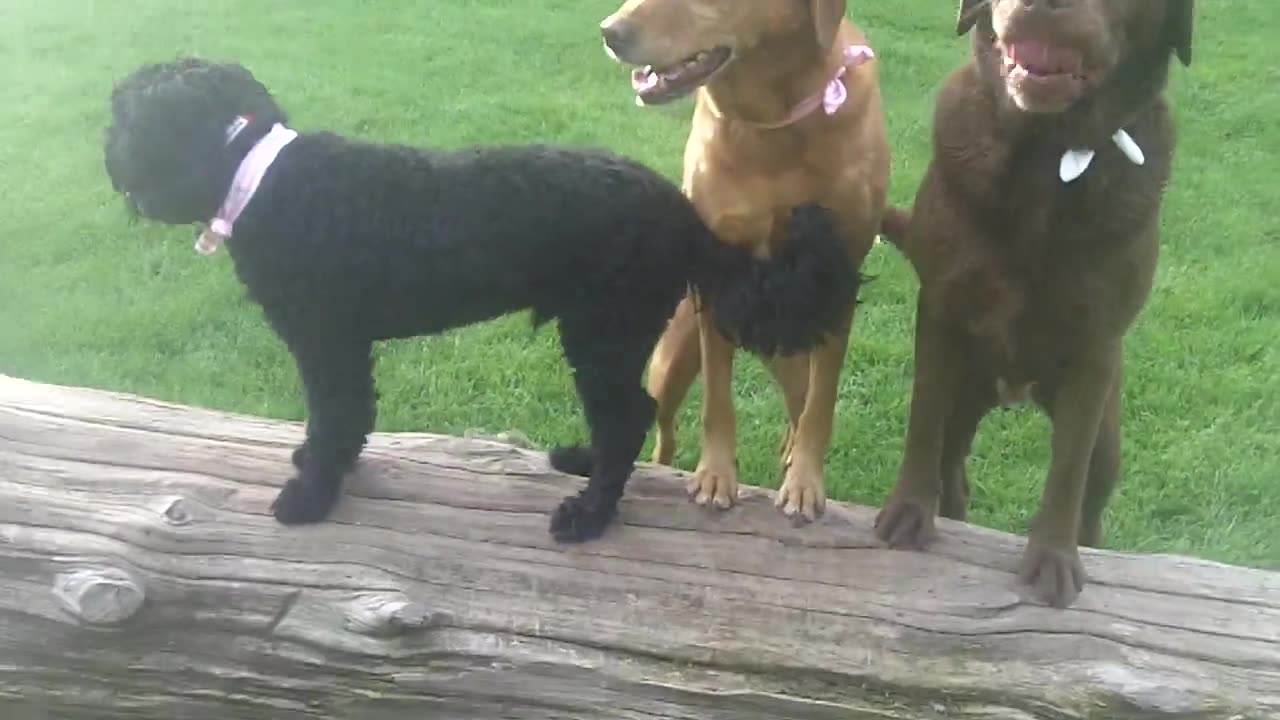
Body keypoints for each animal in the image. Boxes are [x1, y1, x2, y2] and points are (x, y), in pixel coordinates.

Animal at [104, 57, 849, 538]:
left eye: (127, 112)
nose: (109, 155)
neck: (259, 173)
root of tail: (679, 210)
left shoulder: (326, 343)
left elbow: (334, 416)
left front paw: (311, 494)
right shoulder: (343, 346)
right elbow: (348, 417)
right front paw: (324, 468)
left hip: (601, 332)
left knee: (626, 416)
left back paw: (588, 516)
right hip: (616, 333)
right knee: (630, 416)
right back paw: (586, 466)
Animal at [599, 0, 890, 520]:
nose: (610, 32)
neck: (774, 123)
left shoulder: (838, 279)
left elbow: (821, 406)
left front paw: (805, 482)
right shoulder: (719, 278)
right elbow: (718, 399)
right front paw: (716, 475)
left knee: (800, 402)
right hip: (673, 359)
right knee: (665, 429)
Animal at [875, 0, 1192, 604]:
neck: (1045, 151)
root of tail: (1013, 392)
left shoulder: (1096, 346)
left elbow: (1067, 466)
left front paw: (1054, 559)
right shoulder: (942, 310)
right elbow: (922, 422)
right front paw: (907, 514)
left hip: (1108, 437)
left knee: (1092, 492)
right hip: (965, 396)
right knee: (952, 464)